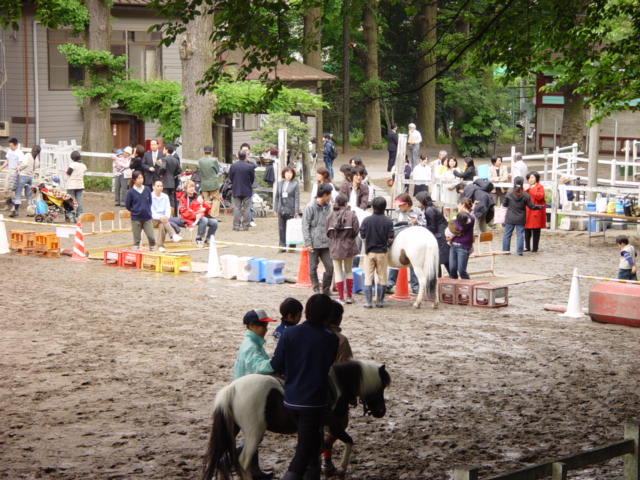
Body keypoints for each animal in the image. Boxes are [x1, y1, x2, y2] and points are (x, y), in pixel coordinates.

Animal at [202, 360, 390, 480]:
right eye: (380, 387)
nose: (381, 411)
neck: (337, 386)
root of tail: (232, 389)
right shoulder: (334, 425)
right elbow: (349, 441)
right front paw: (342, 468)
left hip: (233, 430)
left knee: (224, 460)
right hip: (254, 433)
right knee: (243, 462)